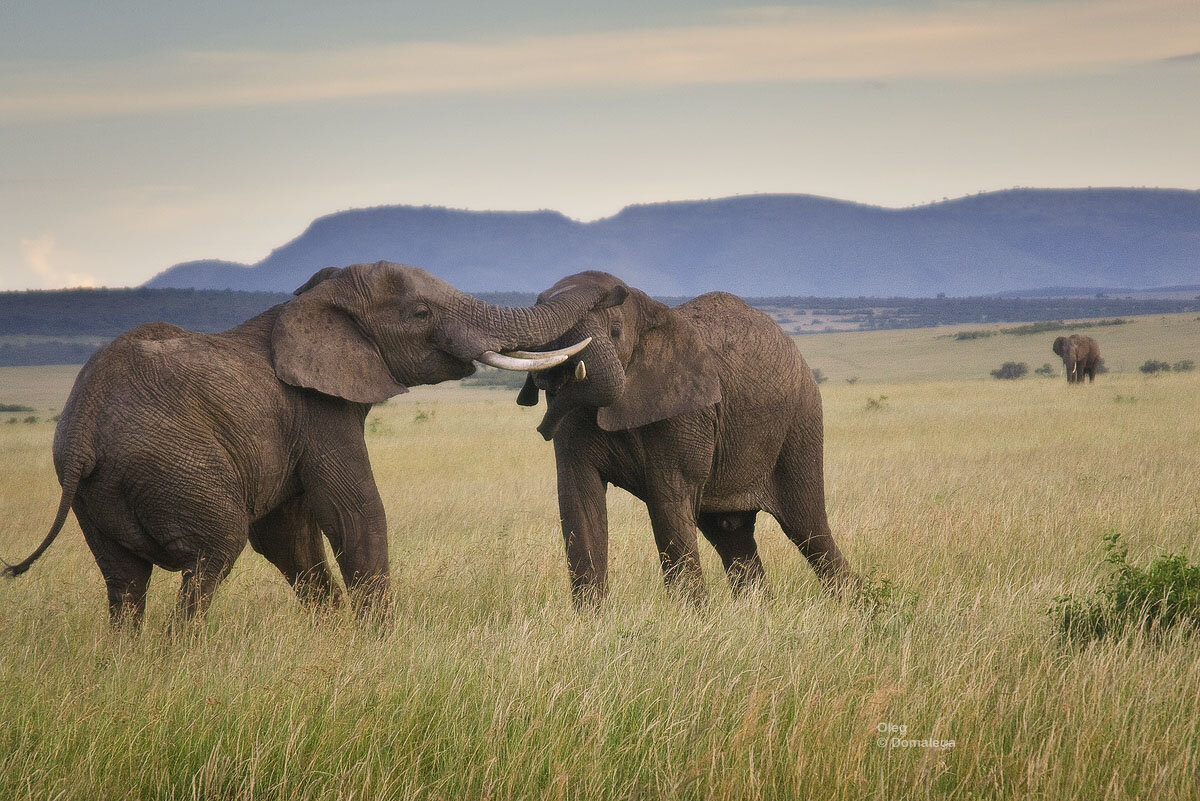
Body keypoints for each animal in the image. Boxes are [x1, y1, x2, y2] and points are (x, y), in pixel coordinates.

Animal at [0, 260, 600, 628]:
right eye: (421, 313)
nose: (600, 291)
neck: (315, 301)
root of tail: (82, 429)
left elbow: (288, 536)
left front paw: (336, 635)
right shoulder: (317, 412)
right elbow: (354, 510)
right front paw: (379, 642)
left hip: (95, 494)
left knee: (124, 581)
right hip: (170, 464)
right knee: (212, 552)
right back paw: (179, 657)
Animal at [511, 270, 859, 606]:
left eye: (615, 331)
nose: (542, 427)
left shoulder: (687, 411)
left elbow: (668, 501)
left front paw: (690, 616)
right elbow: (580, 501)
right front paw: (591, 619)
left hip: (800, 423)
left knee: (807, 527)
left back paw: (852, 605)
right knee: (731, 534)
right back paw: (759, 613)